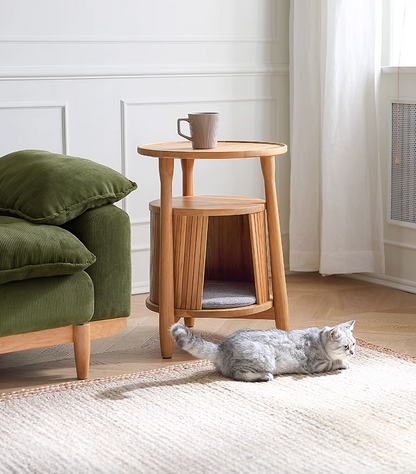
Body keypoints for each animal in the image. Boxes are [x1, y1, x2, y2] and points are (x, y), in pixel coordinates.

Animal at [171, 318, 356, 382]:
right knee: (237, 374)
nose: (353, 352)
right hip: (263, 358)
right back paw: (265, 376)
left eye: (354, 344)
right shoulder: (316, 366)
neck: (318, 339)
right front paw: (343, 362)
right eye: (346, 346)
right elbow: (333, 362)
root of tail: (221, 347)